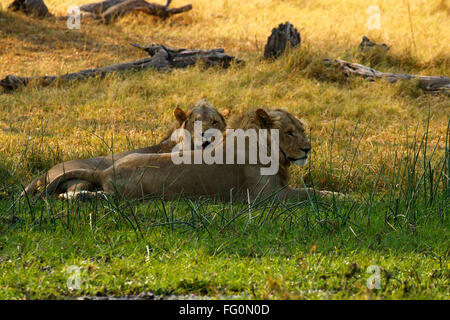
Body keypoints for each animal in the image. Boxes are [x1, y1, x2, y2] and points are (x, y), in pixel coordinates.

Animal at [42, 108, 344, 202]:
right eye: (290, 132)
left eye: (302, 129)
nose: (308, 148)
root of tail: (106, 170)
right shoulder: (266, 198)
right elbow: (312, 193)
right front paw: (347, 198)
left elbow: (314, 189)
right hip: (132, 193)